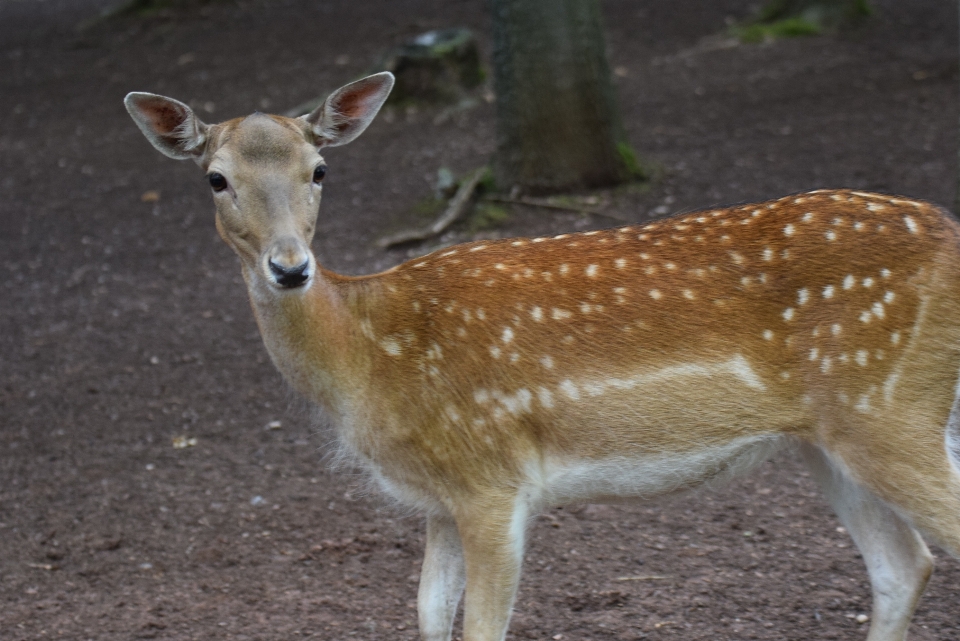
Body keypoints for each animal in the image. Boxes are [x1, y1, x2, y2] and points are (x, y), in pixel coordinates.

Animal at [125, 70, 960, 640]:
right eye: (216, 177)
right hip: (829, 438)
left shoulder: (492, 480)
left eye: (319, 170)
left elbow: (478, 628)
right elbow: (427, 615)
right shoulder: (438, 498)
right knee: (903, 563)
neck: (367, 357)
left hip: (892, 408)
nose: (290, 267)